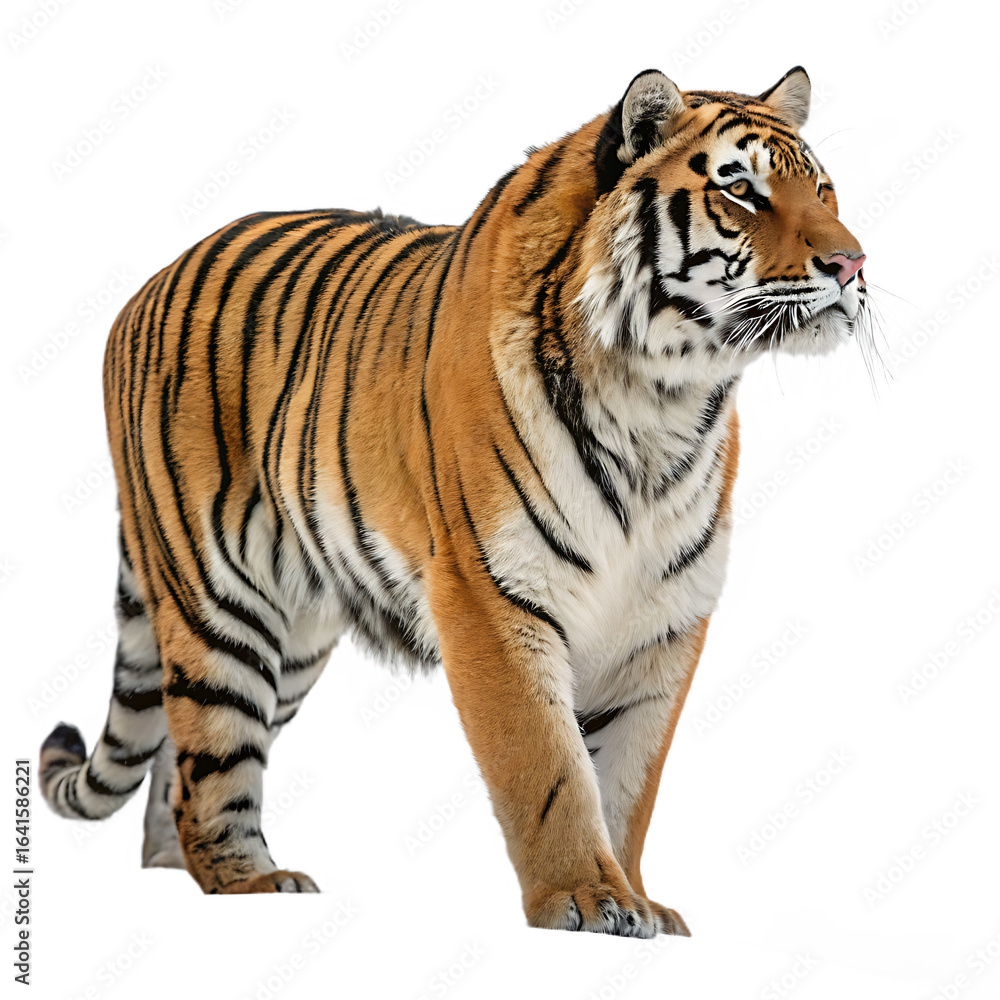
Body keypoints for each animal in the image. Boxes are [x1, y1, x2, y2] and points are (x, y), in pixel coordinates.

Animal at [40, 65, 867, 937]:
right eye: (741, 190)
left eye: (822, 188)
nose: (853, 263)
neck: (663, 400)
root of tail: (148, 284)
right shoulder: (490, 591)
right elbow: (546, 766)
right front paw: (584, 896)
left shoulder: (665, 614)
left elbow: (629, 780)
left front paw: (639, 902)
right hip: (220, 603)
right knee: (212, 753)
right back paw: (249, 881)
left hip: (292, 638)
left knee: (179, 755)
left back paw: (182, 867)